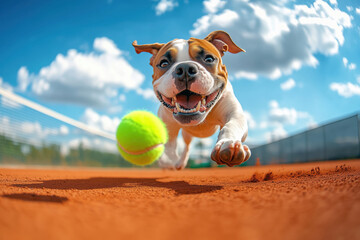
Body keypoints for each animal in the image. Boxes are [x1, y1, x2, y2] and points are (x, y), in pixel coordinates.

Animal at [132, 31, 250, 170]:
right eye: (164, 63)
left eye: (209, 59)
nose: (185, 68)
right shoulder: (166, 123)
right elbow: (168, 144)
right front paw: (168, 160)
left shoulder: (234, 113)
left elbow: (232, 125)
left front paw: (227, 144)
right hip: (187, 134)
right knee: (187, 146)